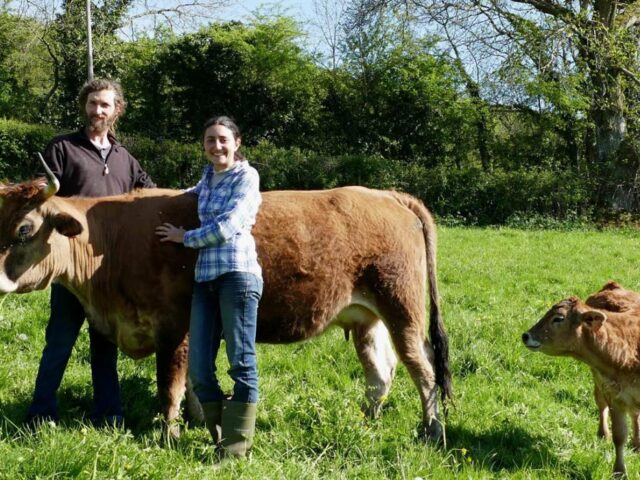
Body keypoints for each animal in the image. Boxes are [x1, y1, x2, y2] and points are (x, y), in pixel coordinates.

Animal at [0, 167, 450, 440]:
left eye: (24, 228)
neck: (110, 243)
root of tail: (383, 194)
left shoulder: (175, 328)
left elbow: (171, 385)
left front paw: (169, 434)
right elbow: (195, 385)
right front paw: (202, 424)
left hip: (402, 306)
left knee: (423, 367)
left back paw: (431, 429)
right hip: (365, 316)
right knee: (381, 371)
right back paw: (366, 421)